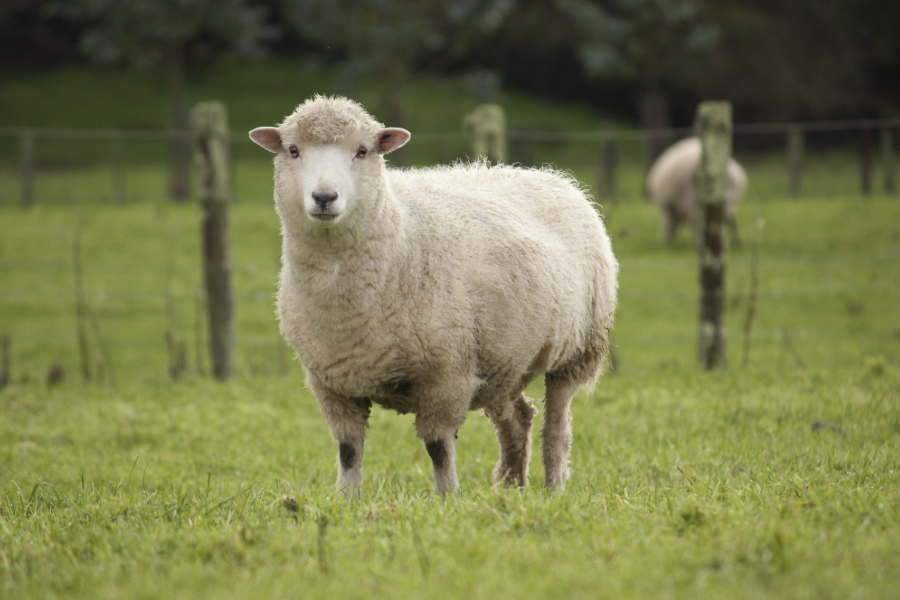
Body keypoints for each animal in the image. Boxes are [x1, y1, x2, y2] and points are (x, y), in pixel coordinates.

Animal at [253, 95, 620, 496]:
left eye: (362, 151)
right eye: (293, 150)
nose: (324, 197)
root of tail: (552, 176)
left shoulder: (447, 376)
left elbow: (438, 448)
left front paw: (449, 498)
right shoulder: (331, 384)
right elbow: (349, 450)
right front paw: (347, 499)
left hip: (578, 349)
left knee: (556, 426)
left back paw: (552, 489)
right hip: (503, 360)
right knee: (519, 417)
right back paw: (511, 488)